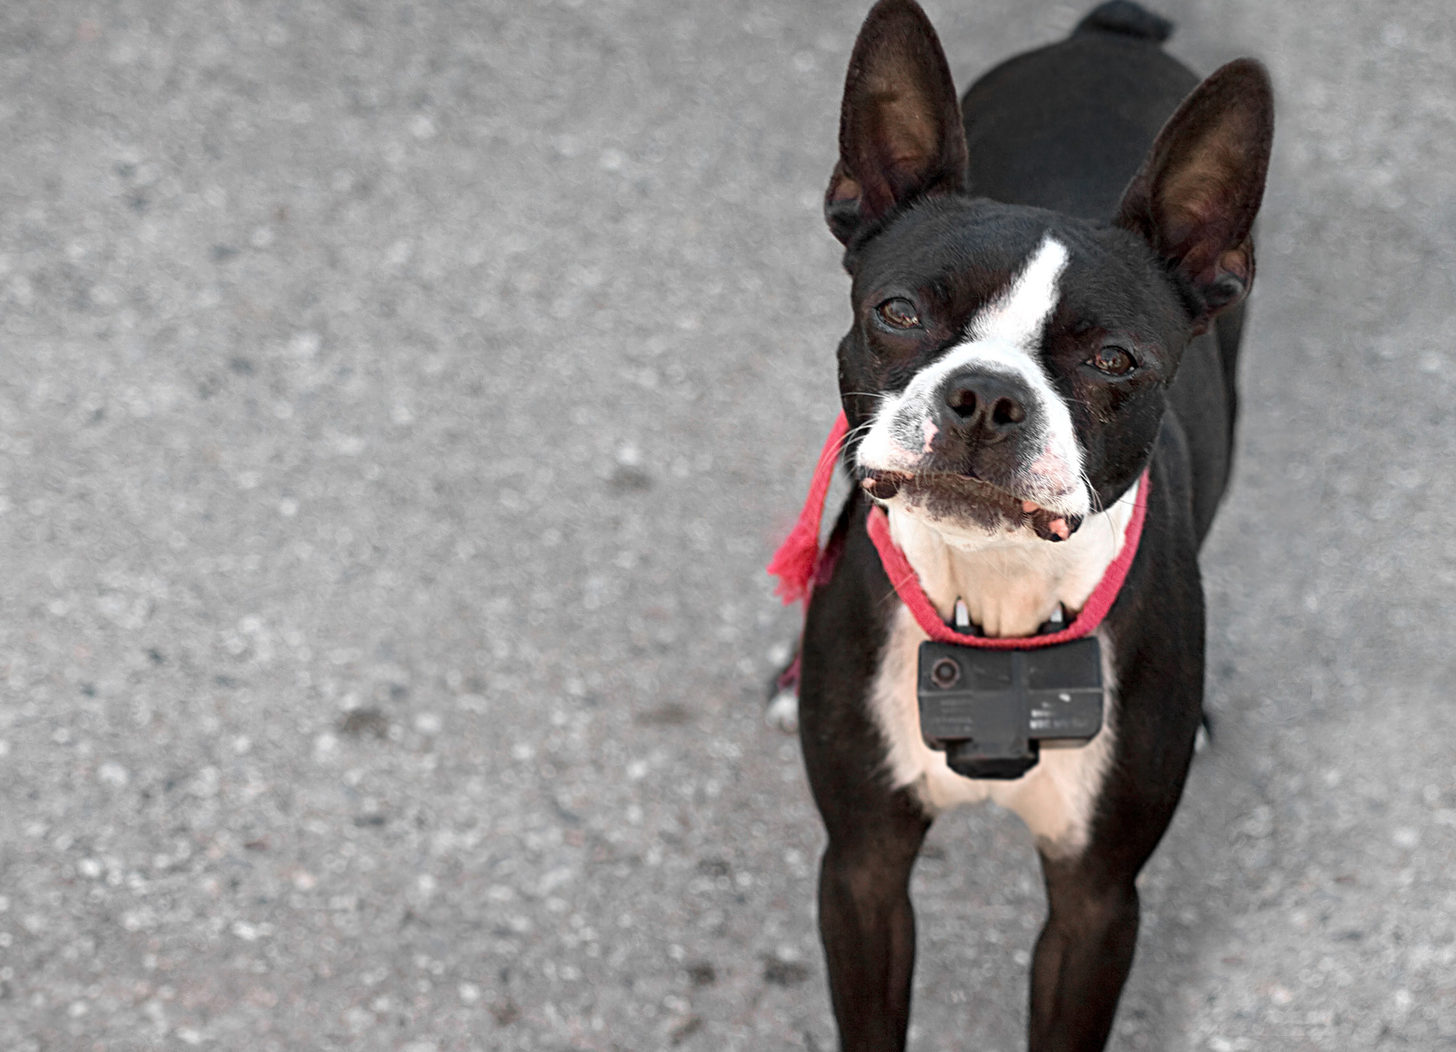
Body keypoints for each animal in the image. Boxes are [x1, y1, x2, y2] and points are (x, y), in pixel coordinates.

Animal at [780, 0, 1269, 1047]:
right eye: (898, 311)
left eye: (1115, 360)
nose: (986, 396)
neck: (995, 596)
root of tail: (1109, 35)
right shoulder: (863, 870)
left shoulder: (1097, 903)